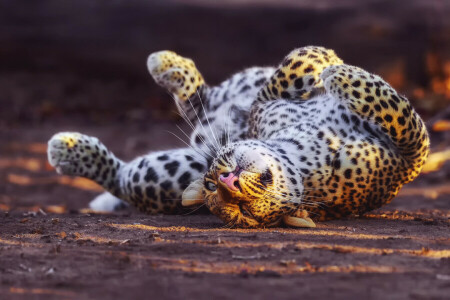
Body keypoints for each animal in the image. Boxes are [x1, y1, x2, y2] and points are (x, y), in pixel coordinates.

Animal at [47, 46, 430, 227]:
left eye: (241, 208)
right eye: (213, 187)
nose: (227, 181)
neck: (302, 155)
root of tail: (200, 140)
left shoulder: (408, 162)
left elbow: (402, 118)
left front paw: (334, 69)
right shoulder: (264, 107)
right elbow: (294, 67)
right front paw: (331, 66)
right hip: (178, 159)